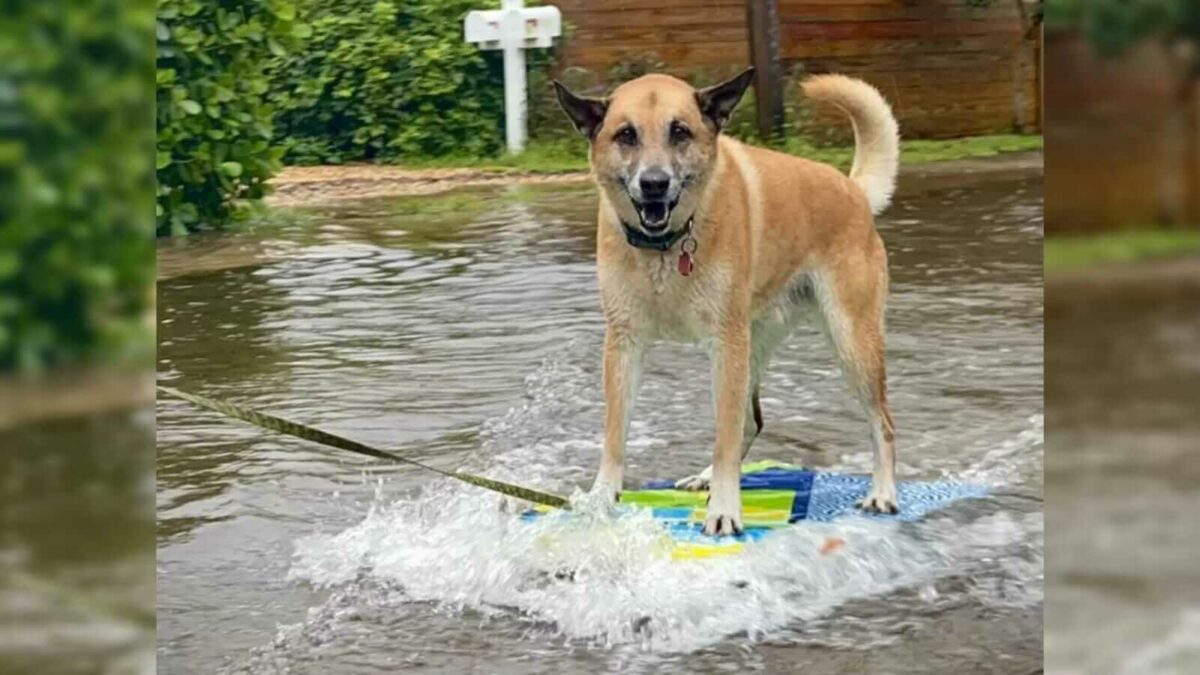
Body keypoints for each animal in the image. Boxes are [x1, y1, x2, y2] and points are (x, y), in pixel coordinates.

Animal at [554, 66, 902, 530]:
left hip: (849, 341)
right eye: (626, 134)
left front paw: (724, 510)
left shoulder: (725, 341)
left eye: (680, 131)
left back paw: (883, 493)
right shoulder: (623, 342)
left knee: (882, 422)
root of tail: (853, 190)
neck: (665, 249)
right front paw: (602, 497)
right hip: (755, 344)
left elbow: (724, 433)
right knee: (750, 421)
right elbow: (615, 432)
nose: (654, 184)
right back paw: (705, 477)